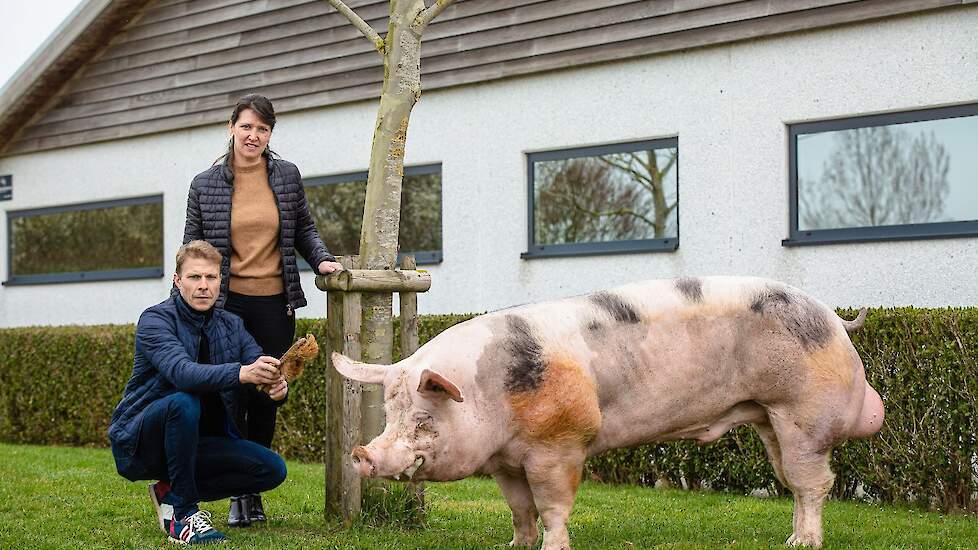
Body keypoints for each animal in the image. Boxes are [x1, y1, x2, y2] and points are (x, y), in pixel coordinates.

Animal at [330, 278, 884, 548]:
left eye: (424, 419)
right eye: (389, 414)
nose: (362, 454)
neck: (493, 390)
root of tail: (837, 319)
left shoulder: (559, 445)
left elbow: (553, 506)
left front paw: (553, 548)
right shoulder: (506, 461)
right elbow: (520, 509)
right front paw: (514, 546)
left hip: (803, 415)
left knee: (815, 484)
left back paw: (804, 544)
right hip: (769, 419)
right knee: (793, 483)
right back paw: (789, 538)